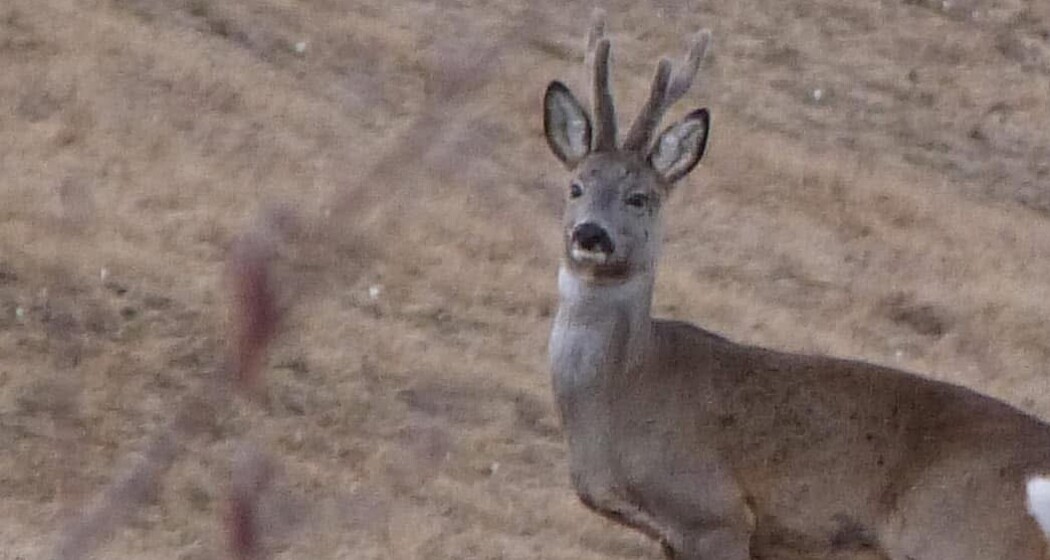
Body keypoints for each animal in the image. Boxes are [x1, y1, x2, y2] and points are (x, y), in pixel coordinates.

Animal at [544, 13, 1050, 560]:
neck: (625, 387)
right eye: (576, 187)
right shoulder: (674, 536)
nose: (590, 234)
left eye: (640, 197)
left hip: (962, 537)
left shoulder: (713, 511)